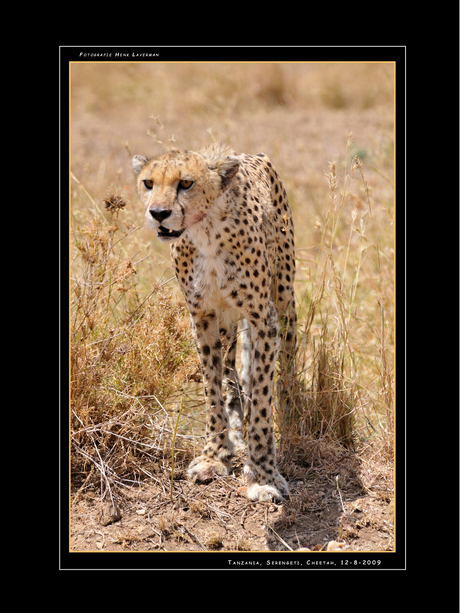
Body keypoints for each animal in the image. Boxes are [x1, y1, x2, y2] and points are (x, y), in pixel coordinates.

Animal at [133, 143, 296, 502]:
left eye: (186, 183)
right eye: (149, 183)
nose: (158, 213)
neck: (206, 232)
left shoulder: (263, 317)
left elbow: (261, 396)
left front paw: (262, 473)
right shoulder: (203, 316)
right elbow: (212, 386)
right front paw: (215, 454)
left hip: (284, 294)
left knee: (288, 357)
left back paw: (291, 416)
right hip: (227, 321)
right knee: (230, 372)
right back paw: (236, 426)